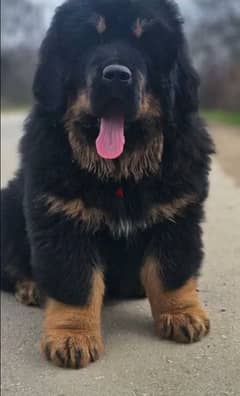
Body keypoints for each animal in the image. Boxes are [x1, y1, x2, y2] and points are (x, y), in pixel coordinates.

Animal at [0, 0, 215, 370]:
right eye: (89, 39)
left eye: (145, 42)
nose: (116, 75)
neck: (120, 171)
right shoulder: (61, 219)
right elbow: (75, 281)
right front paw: (72, 337)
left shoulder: (178, 214)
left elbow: (171, 270)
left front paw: (182, 314)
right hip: (10, 203)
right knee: (12, 265)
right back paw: (32, 288)